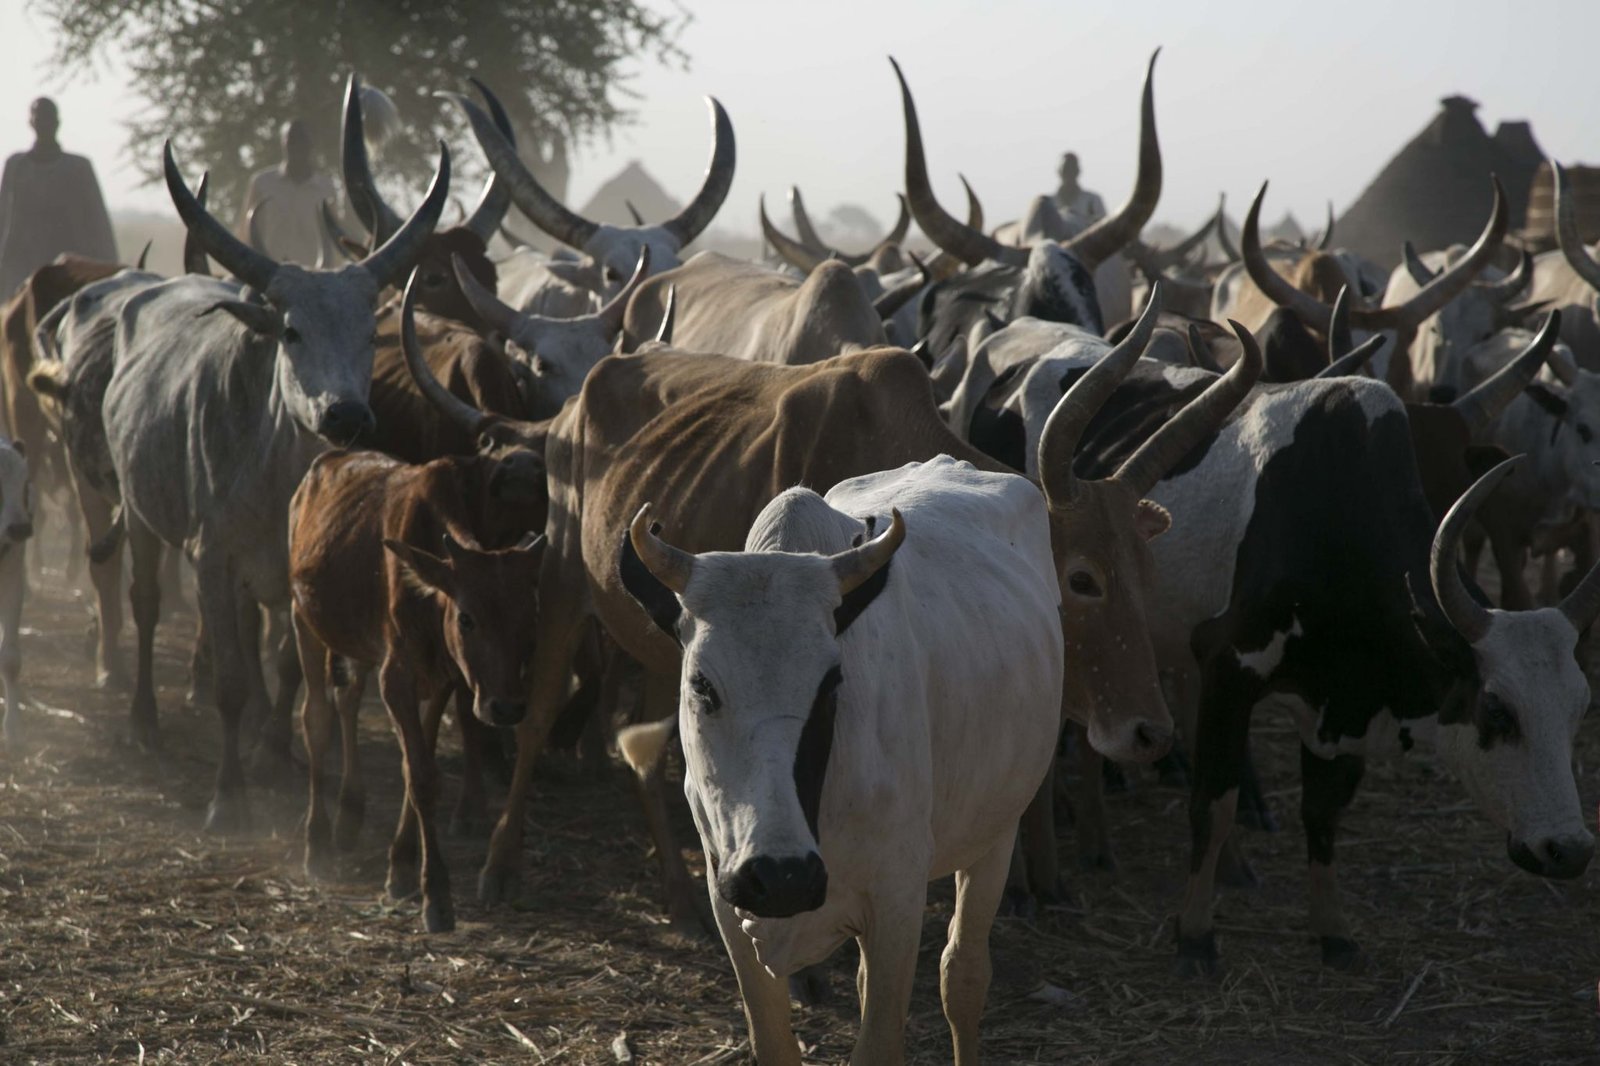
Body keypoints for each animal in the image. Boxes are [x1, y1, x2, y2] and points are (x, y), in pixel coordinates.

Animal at [104, 136, 451, 825]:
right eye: (291, 330)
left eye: (370, 332)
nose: (346, 415)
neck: (274, 478)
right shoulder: (211, 558)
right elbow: (231, 681)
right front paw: (228, 794)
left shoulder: (295, 576)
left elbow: (288, 665)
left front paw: (272, 751)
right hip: (140, 514)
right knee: (146, 604)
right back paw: (144, 721)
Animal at [624, 454, 1062, 1062]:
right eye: (701, 684)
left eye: (832, 683)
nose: (781, 875)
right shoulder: (729, 903)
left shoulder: (897, 902)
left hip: (995, 836)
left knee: (963, 976)